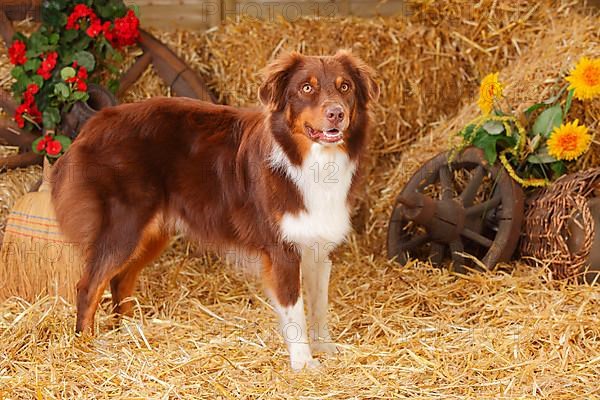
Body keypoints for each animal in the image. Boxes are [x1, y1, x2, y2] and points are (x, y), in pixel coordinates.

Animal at [52, 51, 380, 370]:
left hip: (152, 231)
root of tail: (94, 124)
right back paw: (85, 348)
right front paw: (303, 362)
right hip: (124, 226)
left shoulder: (318, 247)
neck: (310, 161)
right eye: (306, 88)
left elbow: (319, 305)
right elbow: (295, 310)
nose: (336, 113)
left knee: (120, 280)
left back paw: (130, 332)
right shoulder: (282, 251)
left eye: (345, 87)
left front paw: (324, 348)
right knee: (88, 286)